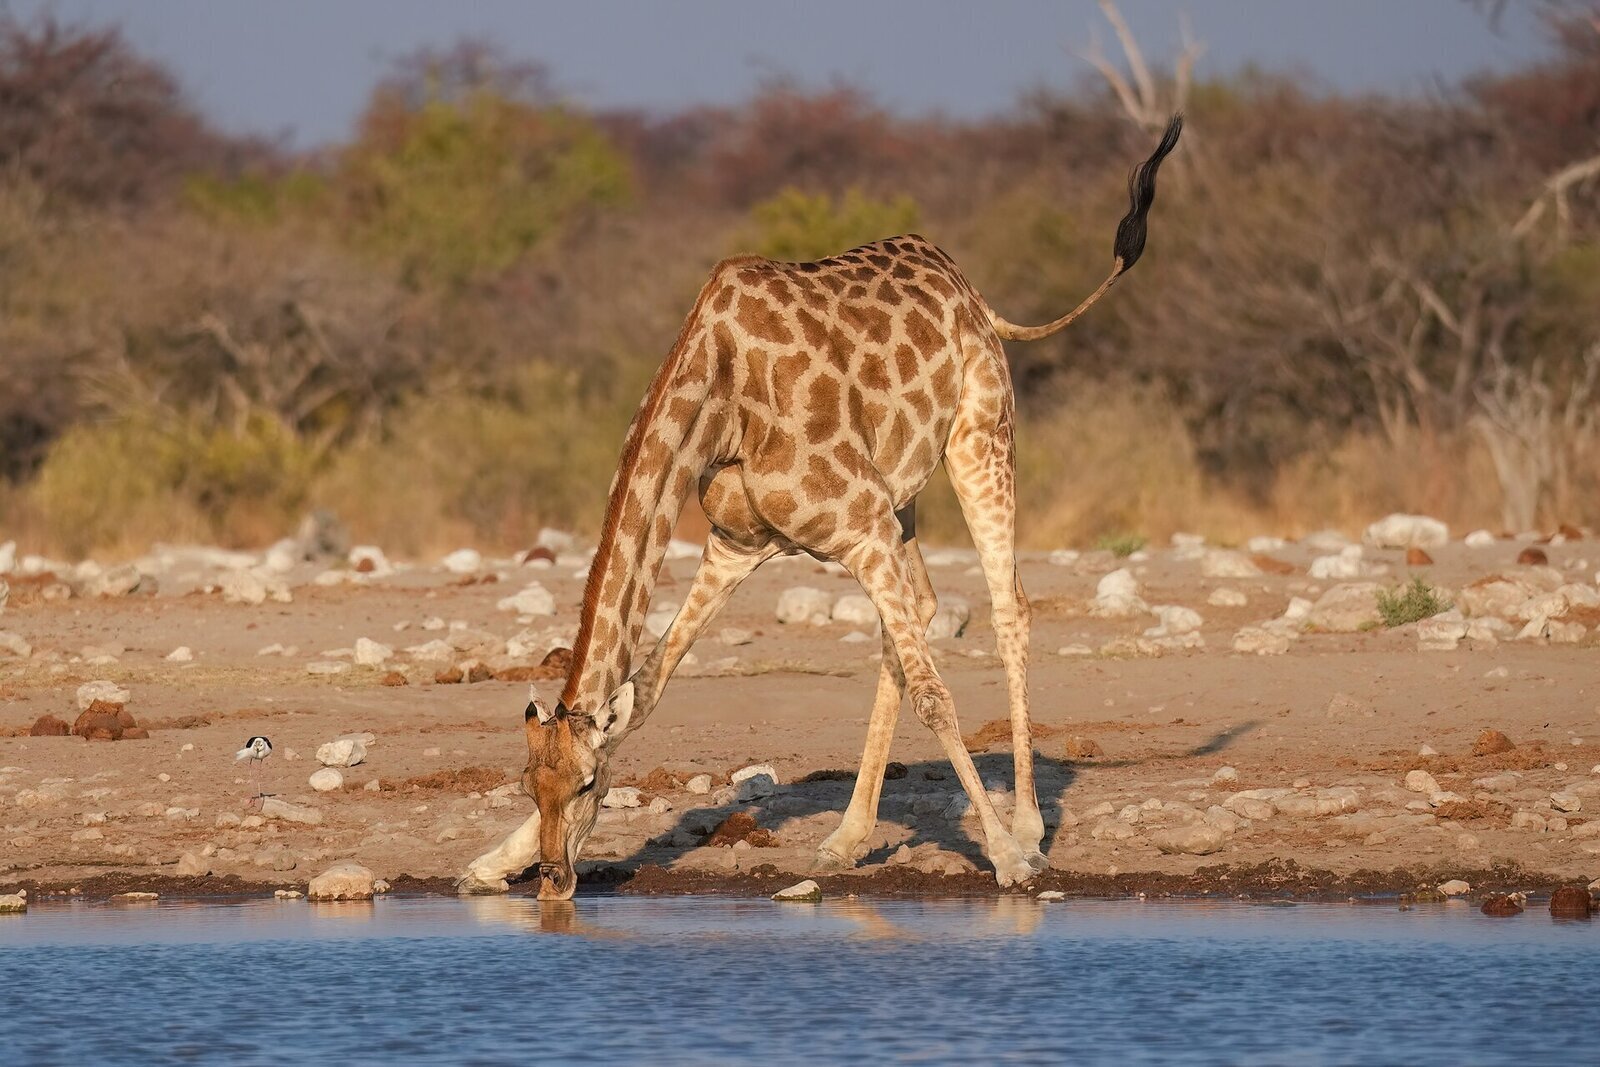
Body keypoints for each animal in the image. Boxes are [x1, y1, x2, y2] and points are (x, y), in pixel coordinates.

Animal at [460, 115, 1183, 899]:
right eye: (530, 785)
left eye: (591, 785)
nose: (555, 881)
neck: (720, 395)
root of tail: (972, 293)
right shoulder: (737, 543)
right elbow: (646, 688)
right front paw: (490, 862)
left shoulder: (858, 528)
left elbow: (935, 693)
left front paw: (1006, 858)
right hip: (899, 500)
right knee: (921, 611)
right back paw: (844, 839)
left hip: (980, 439)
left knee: (1007, 605)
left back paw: (1024, 830)